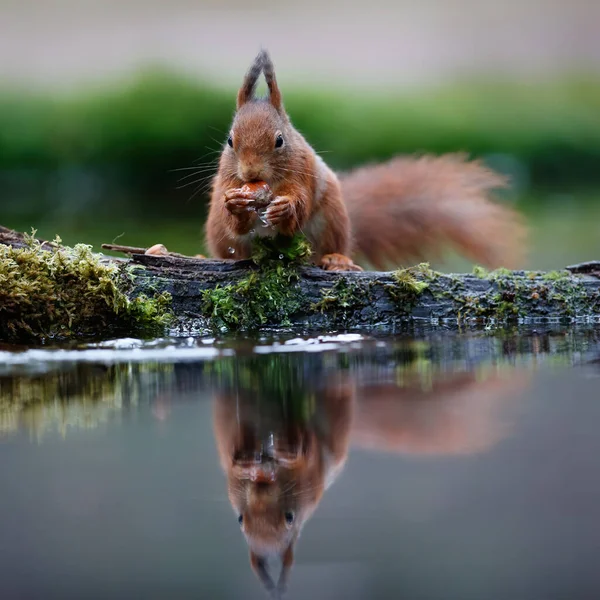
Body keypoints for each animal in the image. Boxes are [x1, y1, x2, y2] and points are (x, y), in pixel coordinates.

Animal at [206, 51, 524, 272]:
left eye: (280, 141)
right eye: (230, 141)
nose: (250, 173)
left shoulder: (304, 172)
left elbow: (300, 205)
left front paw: (285, 207)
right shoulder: (228, 178)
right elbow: (235, 221)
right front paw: (235, 204)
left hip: (332, 217)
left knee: (329, 247)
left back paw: (337, 260)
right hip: (220, 234)